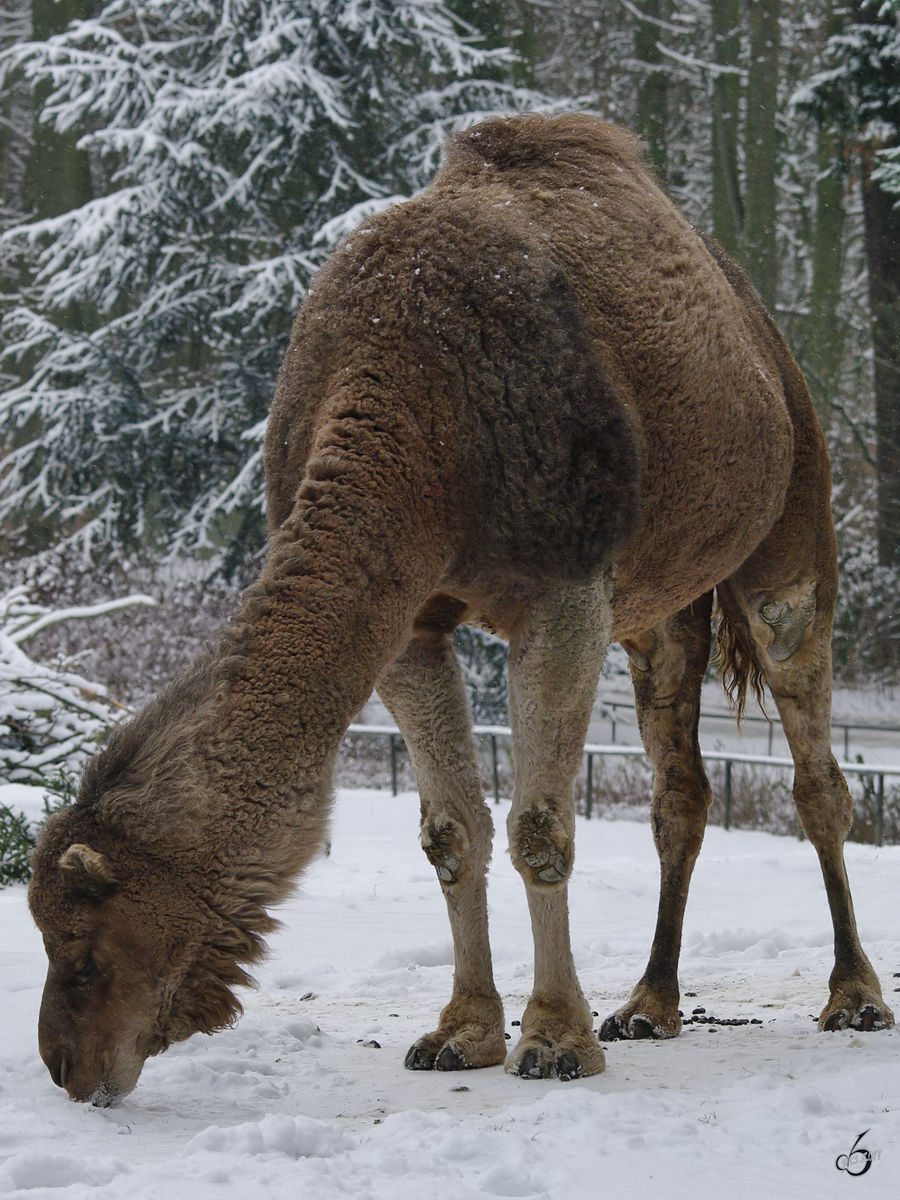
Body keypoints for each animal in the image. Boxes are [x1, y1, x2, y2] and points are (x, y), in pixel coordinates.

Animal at [28, 114, 897, 1104]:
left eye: (85, 952)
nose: (66, 1066)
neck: (417, 414)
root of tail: (757, 323)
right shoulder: (414, 617)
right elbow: (451, 832)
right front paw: (464, 1031)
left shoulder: (563, 591)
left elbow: (540, 828)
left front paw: (553, 1039)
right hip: (657, 610)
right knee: (679, 788)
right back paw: (647, 1004)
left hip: (791, 525)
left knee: (814, 762)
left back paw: (853, 996)